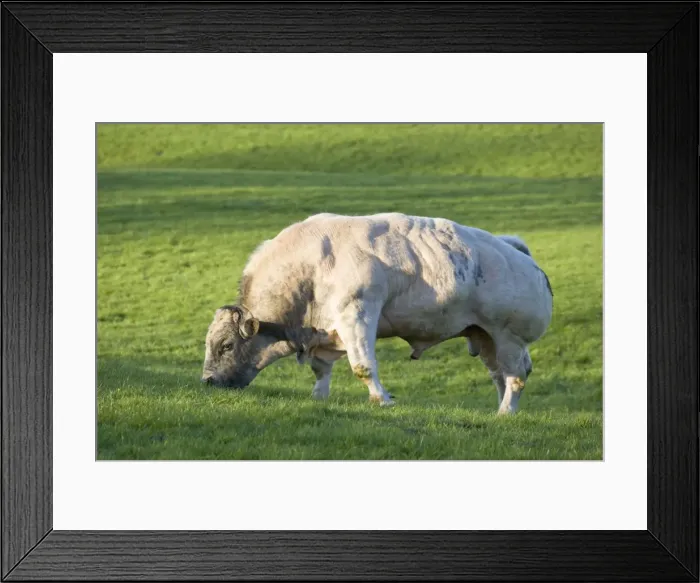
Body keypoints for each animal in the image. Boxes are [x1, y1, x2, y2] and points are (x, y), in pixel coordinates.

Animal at [201, 212, 553, 414]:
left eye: (226, 346)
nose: (206, 381)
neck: (309, 265)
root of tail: (520, 254)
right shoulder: (325, 332)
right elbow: (321, 369)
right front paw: (318, 397)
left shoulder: (357, 315)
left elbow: (363, 366)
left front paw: (382, 399)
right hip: (485, 337)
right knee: (499, 375)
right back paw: (501, 412)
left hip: (509, 339)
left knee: (516, 377)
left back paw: (505, 413)